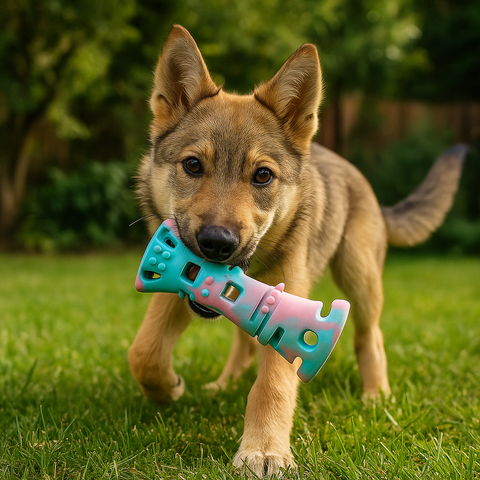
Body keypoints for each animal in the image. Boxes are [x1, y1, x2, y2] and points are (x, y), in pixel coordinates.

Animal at [128, 25, 466, 477]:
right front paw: (168, 389)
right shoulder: (179, 282)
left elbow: (272, 383)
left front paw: (264, 450)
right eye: (193, 166)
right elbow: (144, 350)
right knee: (242, 343)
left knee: (370, 337)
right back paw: (224, 383)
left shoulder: (288, 302)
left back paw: (375, 397)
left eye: (263, 176)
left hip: (358, 276)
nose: (217, 243)